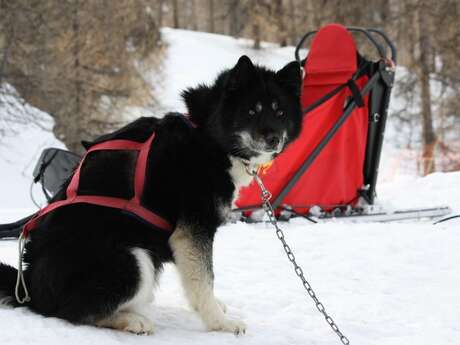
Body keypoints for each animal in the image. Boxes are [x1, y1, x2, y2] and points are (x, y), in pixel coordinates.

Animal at [0, 55, 302, 334]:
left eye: (280, 113)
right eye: (251, 111)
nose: (273, 138)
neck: (207, 135)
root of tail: (29, 286)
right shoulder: (193, 230)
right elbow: (204, 280)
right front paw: (220, 323)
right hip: (134, 259)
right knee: (76, 312)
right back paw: (132, 320)